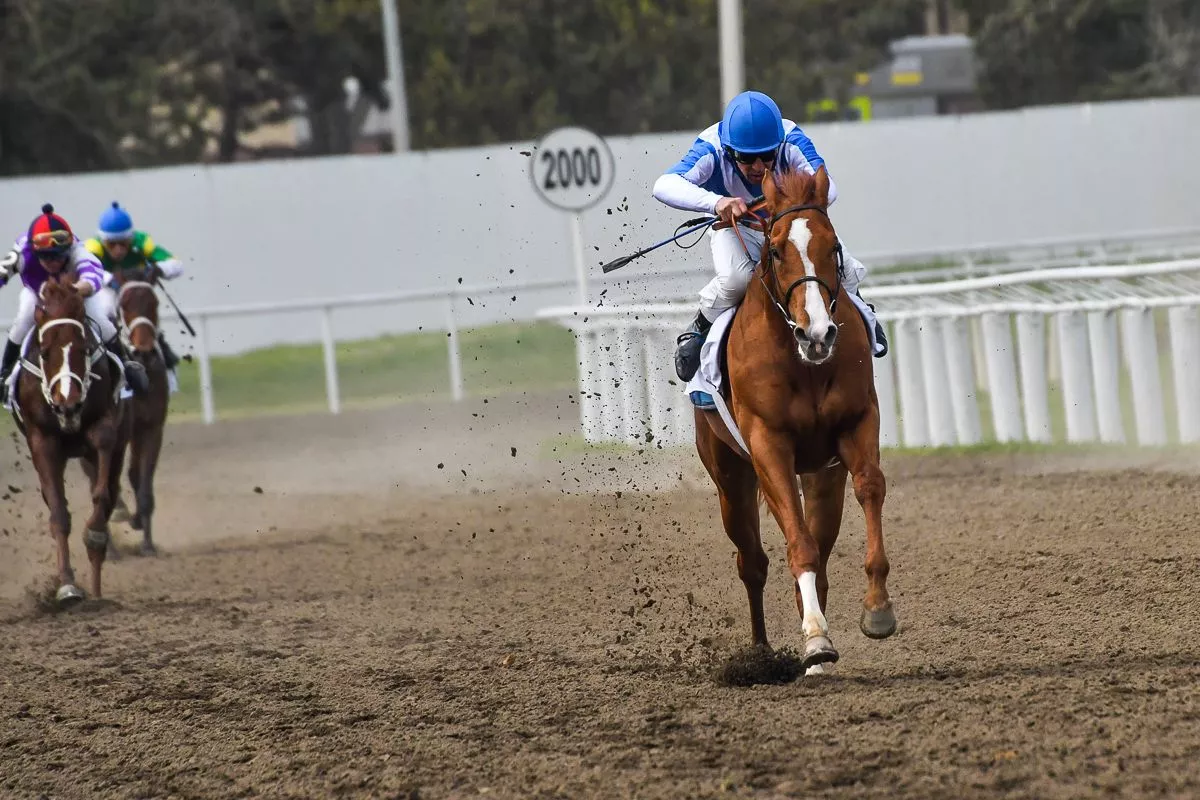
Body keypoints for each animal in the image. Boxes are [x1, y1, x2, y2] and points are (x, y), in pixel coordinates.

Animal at [11, 279, 127, 606]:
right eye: (44, 352)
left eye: (84, 349)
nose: (68, 406)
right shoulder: (43, 441)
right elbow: (58, 513)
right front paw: (67, 587)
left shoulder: (105, 428)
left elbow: (101, 494)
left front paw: (96, 536)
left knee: (111, 489)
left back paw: (98, 586)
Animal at [694, 165, 896, 672]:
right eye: (776, 249)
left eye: (833, 245)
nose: (817, 333)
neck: (804, 363)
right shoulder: (769, 445)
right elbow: (796, 544)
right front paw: (817, 638)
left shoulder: (857, 423)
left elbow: (870, 487)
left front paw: (877, 608)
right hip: (731, 480)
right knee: (753, 563)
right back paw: (763, 653)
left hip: (823, 479)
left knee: (818, 557)